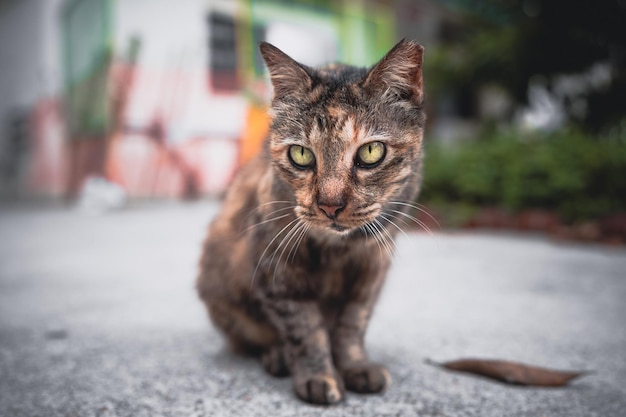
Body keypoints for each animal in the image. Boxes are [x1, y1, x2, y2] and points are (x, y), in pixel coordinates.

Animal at [196, 39, 424, 404]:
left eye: (371, 152)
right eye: (301, 155)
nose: (330, 205)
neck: (339, 250)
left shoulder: (372, 267)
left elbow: (352, 323)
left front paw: (356, 366)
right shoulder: (278, 270)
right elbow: (304, 328)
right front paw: (318, 376)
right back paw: (277, 356)